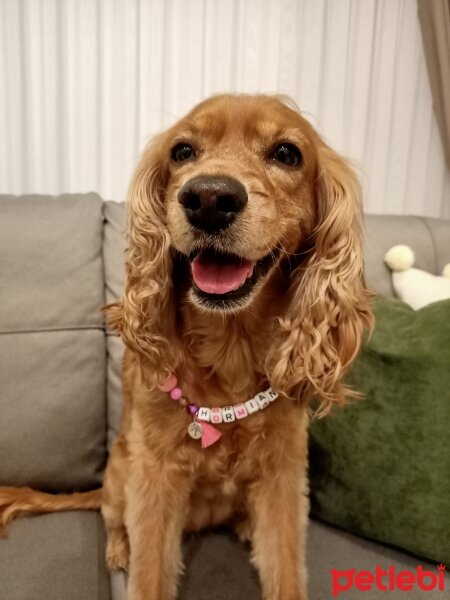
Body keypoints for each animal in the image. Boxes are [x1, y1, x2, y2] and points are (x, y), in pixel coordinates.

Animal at [0, 96, 372, 596]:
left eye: (287, 154)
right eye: (182, 151)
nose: (210, 198)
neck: (230, 346)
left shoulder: (283, 473)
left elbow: (286, 569)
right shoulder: (155, 475)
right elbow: (149, 573)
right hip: (120, 475)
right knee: (113, 519)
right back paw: (118, 549)